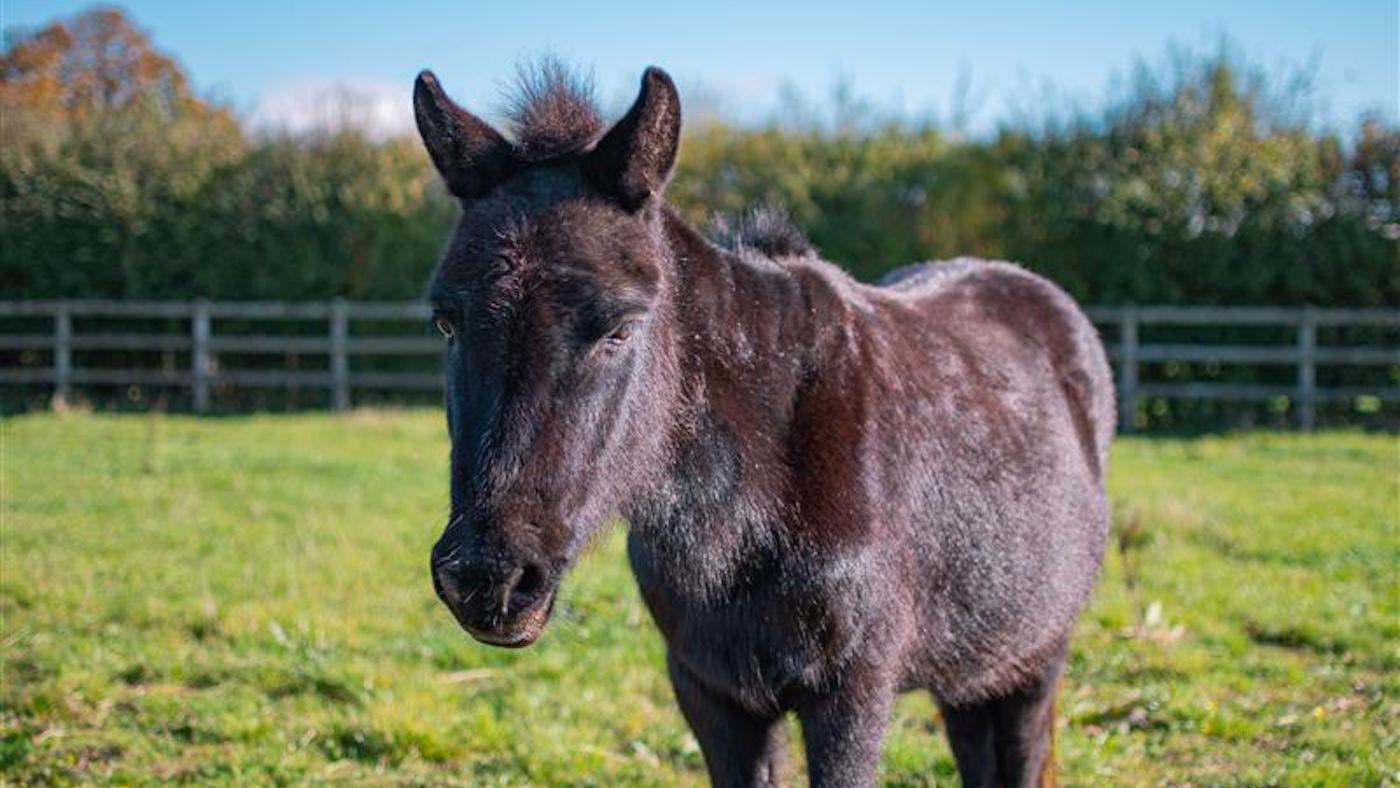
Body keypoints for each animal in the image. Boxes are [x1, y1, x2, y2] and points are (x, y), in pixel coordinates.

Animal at [417, 61, 1114, 787]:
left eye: (620, 328)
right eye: (445, 321)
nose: (488, 580)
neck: (749, 505)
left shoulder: (852, 695)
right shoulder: (711, 691)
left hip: (1036, 658)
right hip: (971, 672)